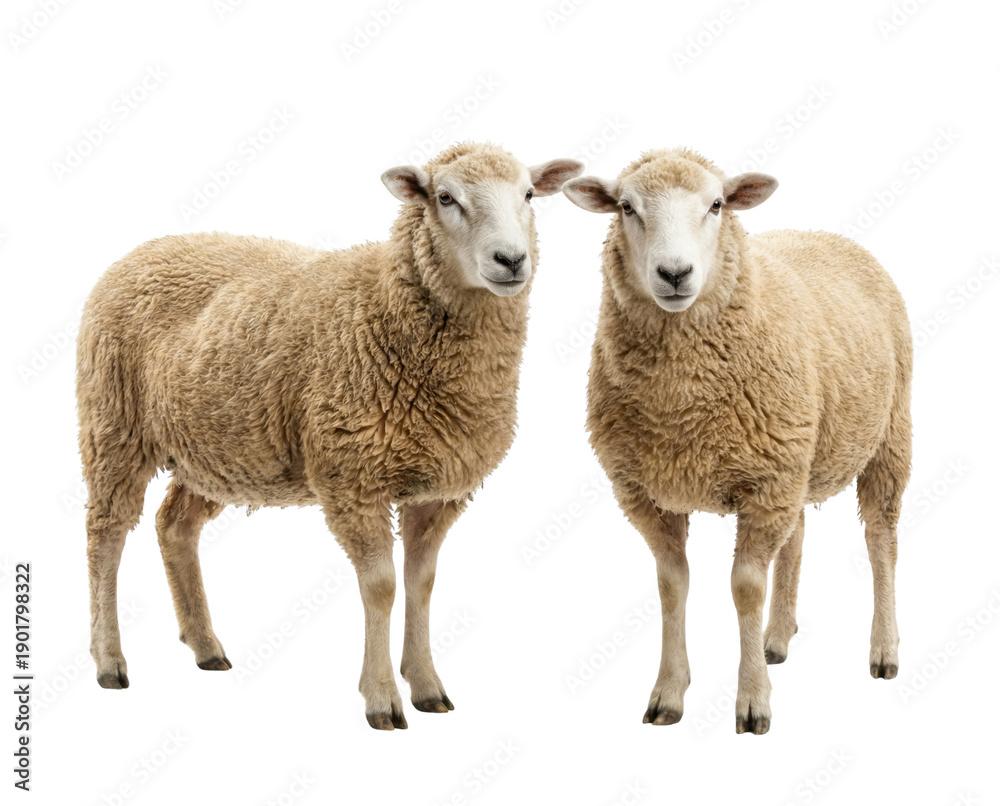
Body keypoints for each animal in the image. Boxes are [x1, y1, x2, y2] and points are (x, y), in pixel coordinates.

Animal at [77, 142, 583, 730]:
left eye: (529, 194)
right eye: (444, 197)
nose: (511, 260)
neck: (387, 310)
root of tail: (142, 249)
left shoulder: (437, 491)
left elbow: (421, 583)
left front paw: (427, 686)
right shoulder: (352, 478)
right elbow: (382, 587)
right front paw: (381, 698)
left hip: (217, 447)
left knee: (173, 525)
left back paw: (205, 646)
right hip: (113, 424)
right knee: (106, 535)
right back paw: (109, 661)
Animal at [563, 148, 911, 735]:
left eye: (717, 205)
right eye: (627, 207)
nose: (674, 273)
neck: (681, 407)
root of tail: (823, 233)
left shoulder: (765, 486)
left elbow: (746, 587)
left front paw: (752, 701)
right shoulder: (646, 492)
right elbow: (672, 584)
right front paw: (669, 692)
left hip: (889, 435)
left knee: (880, 539)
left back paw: (883, 650)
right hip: (797, 456)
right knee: (796, 537)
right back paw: (777, 638)